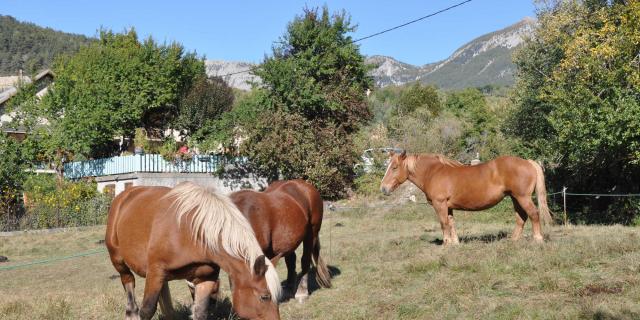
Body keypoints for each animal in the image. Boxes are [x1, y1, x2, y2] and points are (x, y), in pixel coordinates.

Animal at [106, 182, 282, 320]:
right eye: (265, 297)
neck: (193, 231)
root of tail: (125, 195)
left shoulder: (206, 278)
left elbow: (200, 312)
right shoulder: (156, 271)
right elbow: (147, 311)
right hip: (119, 261)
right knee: (129, 283)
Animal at [378, 151, 552, 244]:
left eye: (394, 167)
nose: (383, 188)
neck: (433, 172)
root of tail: (528, 162)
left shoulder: (440, 204)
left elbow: (443, 224)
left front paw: (446, 244)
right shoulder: (448, 207)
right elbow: (451, 223)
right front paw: (455, 243)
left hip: (523, 197)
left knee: (533, 214)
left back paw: (537, 239)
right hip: (515, 198)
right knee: (521, 217)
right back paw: (513, 240)